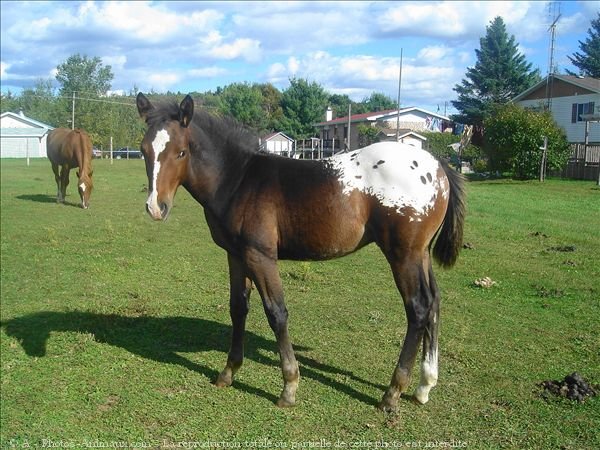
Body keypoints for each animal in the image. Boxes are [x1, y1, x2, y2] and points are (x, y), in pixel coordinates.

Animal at [135, 93, 464, 410]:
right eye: (144, 150)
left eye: (181, 152)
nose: (156, 207)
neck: (238, 180)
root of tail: (438, 168)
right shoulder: (236, 255)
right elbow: (238, 308)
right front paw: (228, 372)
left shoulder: (260, 255)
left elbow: (276, 313)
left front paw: (289, 387)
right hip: (420, 254)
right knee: (434, 302)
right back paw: (424, 387)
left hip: (403, 254)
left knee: (418, 308)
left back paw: (392, 393)